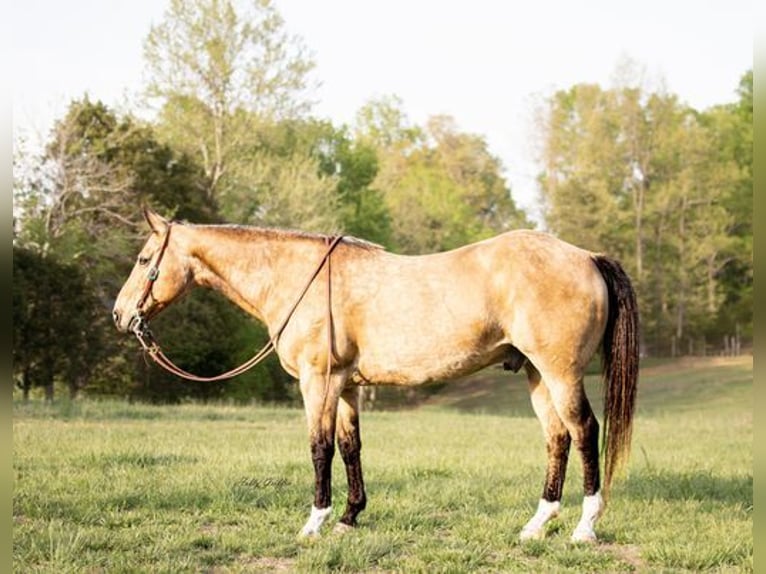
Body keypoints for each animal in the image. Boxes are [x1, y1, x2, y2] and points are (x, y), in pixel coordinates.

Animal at [114, 207, 640, 544]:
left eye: (143, 259)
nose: (120, 315)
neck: (297, 277)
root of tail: (587, 257)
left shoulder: (318, 382)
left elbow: (319, 448)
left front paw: (314, 523)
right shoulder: (346, 387)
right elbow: (350, 448)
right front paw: (350, 517)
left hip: (560, 373)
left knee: (584, 430)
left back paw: (584, 527)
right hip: (536, 374)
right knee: (557, 438)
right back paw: (536, 525)